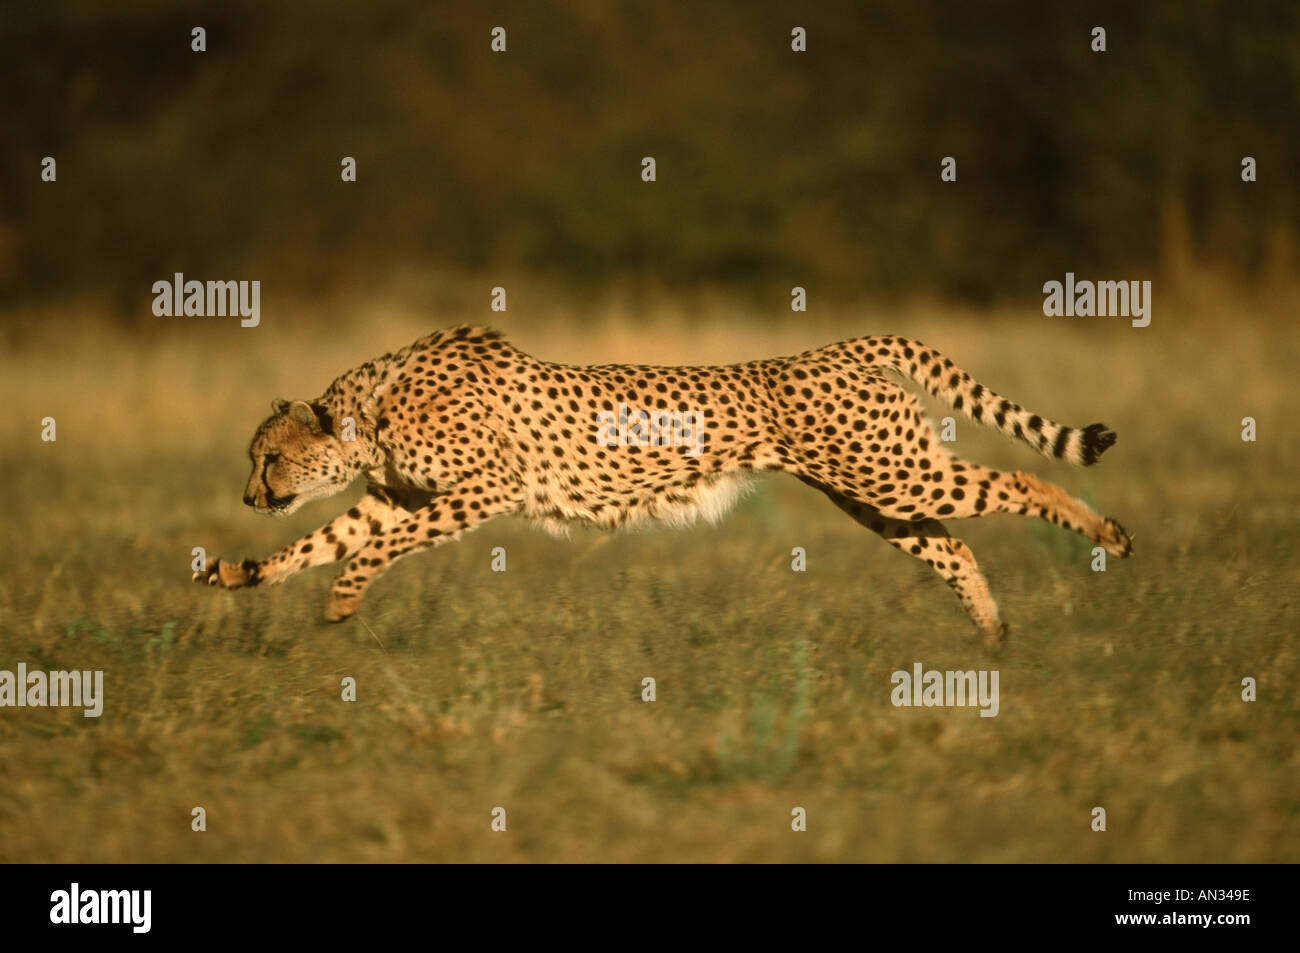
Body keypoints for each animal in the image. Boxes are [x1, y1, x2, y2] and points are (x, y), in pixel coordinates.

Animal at [192, 323, 1128, 642]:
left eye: (267, 458)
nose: (246, 497)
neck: (372, 406)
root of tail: (844, 344)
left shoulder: (483, 489)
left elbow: (376, 547)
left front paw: (345, 595)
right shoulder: (399, 492)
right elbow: (320, 538)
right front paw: (238, 571)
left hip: (894, 473)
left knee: (1017, 476)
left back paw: (1107, 532)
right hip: (874, 493)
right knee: (953, 543)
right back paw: (993, 631)